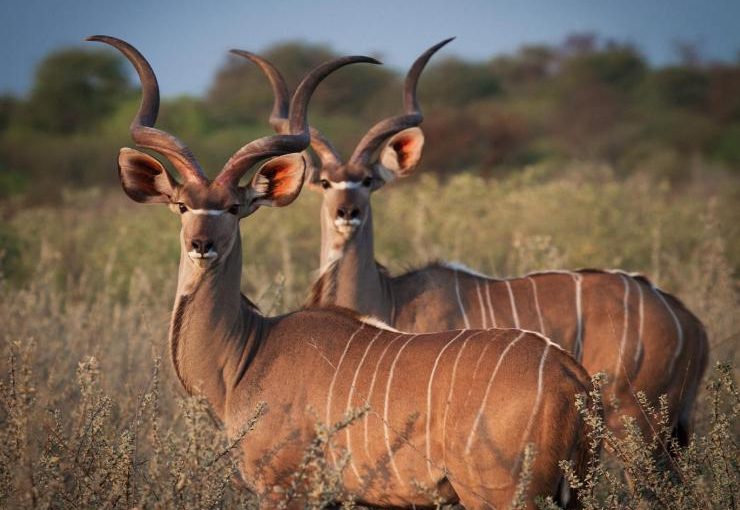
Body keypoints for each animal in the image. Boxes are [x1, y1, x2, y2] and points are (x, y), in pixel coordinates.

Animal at [90, 35, 594, 509]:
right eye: (181, 205)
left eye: (234, 207)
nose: (202, 245)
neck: (247, 352)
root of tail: (571, 376)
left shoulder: (286, 490)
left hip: (500, 495)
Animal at [239, 39, 709, 445]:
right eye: (324, 182)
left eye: (369, 181)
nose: (347, 213)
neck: (389, 296)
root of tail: (691, 323)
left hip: (632, 420)